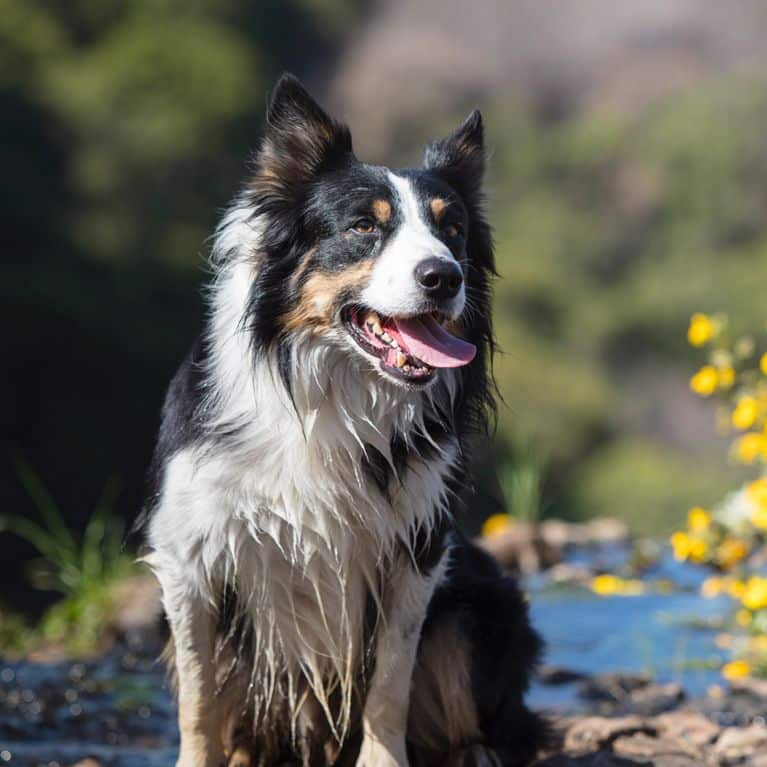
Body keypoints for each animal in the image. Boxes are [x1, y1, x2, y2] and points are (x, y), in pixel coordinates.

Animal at [142, 73, 544, 767]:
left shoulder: (417, 547)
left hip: (483, 603)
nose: (444, 277)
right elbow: (199, 696)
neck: (336, 390)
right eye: (362, 226)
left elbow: (390, 682)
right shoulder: (189, 553)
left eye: (453, 230)